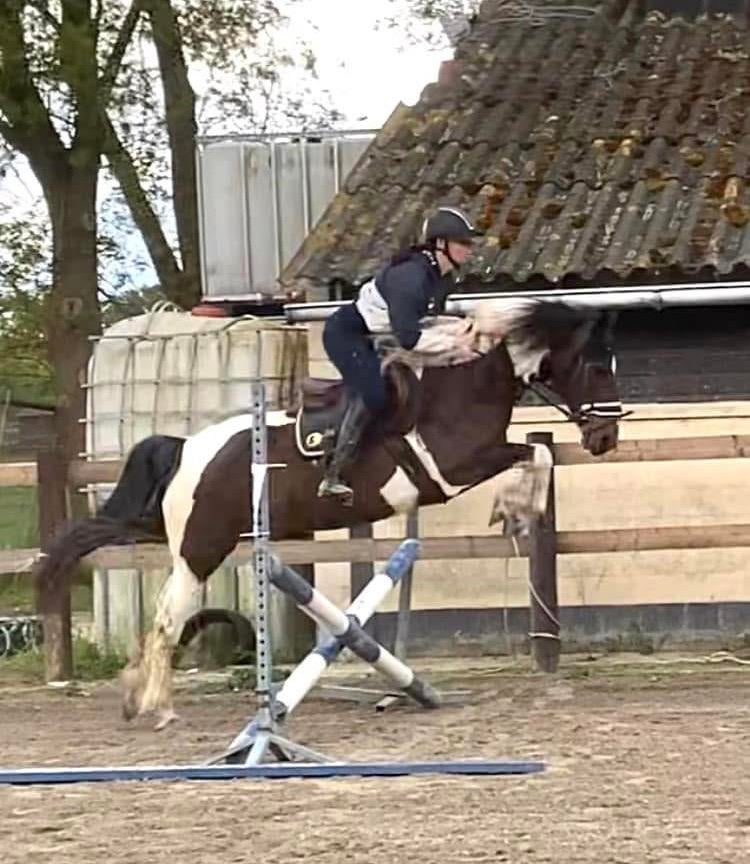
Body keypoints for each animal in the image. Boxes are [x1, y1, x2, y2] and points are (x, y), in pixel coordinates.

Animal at [35, 298, 624, 729]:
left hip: (196, 548)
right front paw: (514, 509)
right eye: (597, 366)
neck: (464, 387)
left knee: (161, 616)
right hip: (202, 549)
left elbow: (536, 455)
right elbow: (537, 454)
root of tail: (186, 449)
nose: (606, 438)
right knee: (167, 620)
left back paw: (136, 695)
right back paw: (159, 707)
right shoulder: (451, 469)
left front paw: (517, 512)